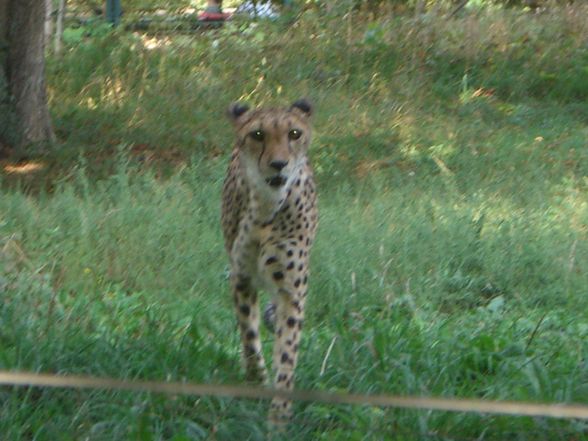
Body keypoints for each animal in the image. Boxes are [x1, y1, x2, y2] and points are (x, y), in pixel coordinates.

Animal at [222, 98, 316, 422]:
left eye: (294, 133)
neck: (267, 207)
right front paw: (256, 383)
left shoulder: (291, 289)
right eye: (258, 134)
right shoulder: (242, 277)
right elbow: (249, 337)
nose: (278, 164)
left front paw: (279, 415)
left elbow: (287, 352)